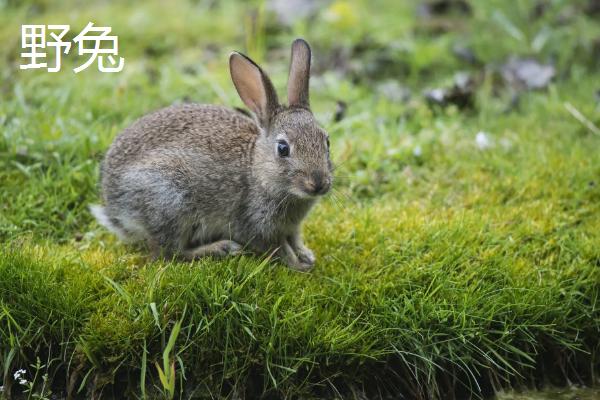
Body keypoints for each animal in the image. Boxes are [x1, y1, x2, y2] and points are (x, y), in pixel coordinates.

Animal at [90, 39, 332, 272]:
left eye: (326, 141)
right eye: (283, 148)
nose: (319, 183)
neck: (257, 171)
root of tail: (114, 205)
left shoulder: (292, 227)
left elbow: (295, 240)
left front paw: (306, 255)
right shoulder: (256, 225)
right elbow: (279, 248)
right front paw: (299, 265)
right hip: (170, 202)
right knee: (170, 253)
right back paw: (222, 248)